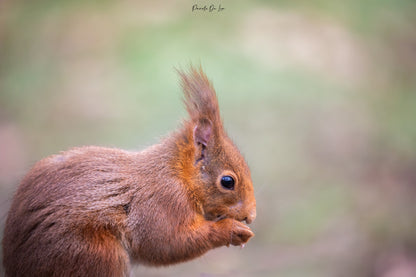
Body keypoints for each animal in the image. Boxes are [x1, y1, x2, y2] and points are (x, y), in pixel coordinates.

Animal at [2, 67, 256, 276]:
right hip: (93, 254)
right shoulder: (161, 201)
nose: (251, 216)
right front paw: (232, 230)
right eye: (227, 181)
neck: (179, 175)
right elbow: (167, 242)